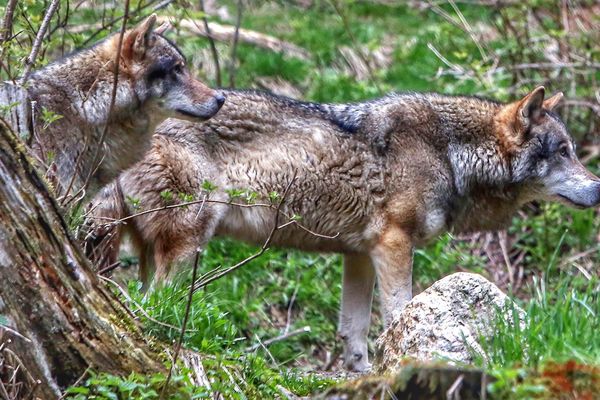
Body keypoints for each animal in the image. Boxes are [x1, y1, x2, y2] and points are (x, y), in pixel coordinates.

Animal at [84, 86, 600, 372]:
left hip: (155, 249)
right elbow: (398, 317)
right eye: (564, 151)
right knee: (154, 305)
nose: (598, 188)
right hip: (189, 243)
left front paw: (362, 374)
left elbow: (354, 333)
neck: (449, 152)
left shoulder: (360, 255)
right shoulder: (394, 244)